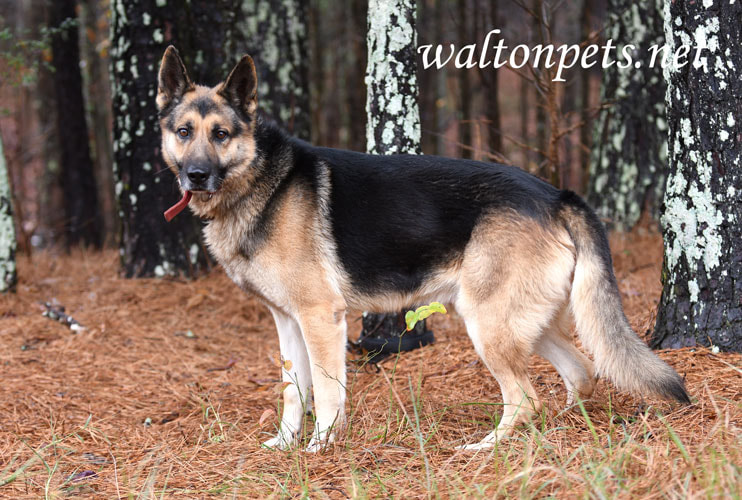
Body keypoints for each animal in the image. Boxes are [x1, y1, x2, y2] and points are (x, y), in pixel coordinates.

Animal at [157, 47, 692, 452]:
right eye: (184, 132)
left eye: (221, 135)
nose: (196, 176)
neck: (260, 181)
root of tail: (555, 194)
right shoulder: (288, 323)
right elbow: (293, 393)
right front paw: (286, 446)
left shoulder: (321, 319)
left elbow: (327, 394)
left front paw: (320, 449)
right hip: (520, 322)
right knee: (580, 371)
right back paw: (557, 429)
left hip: (486, 323)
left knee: (525, 396)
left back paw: (486, 448)